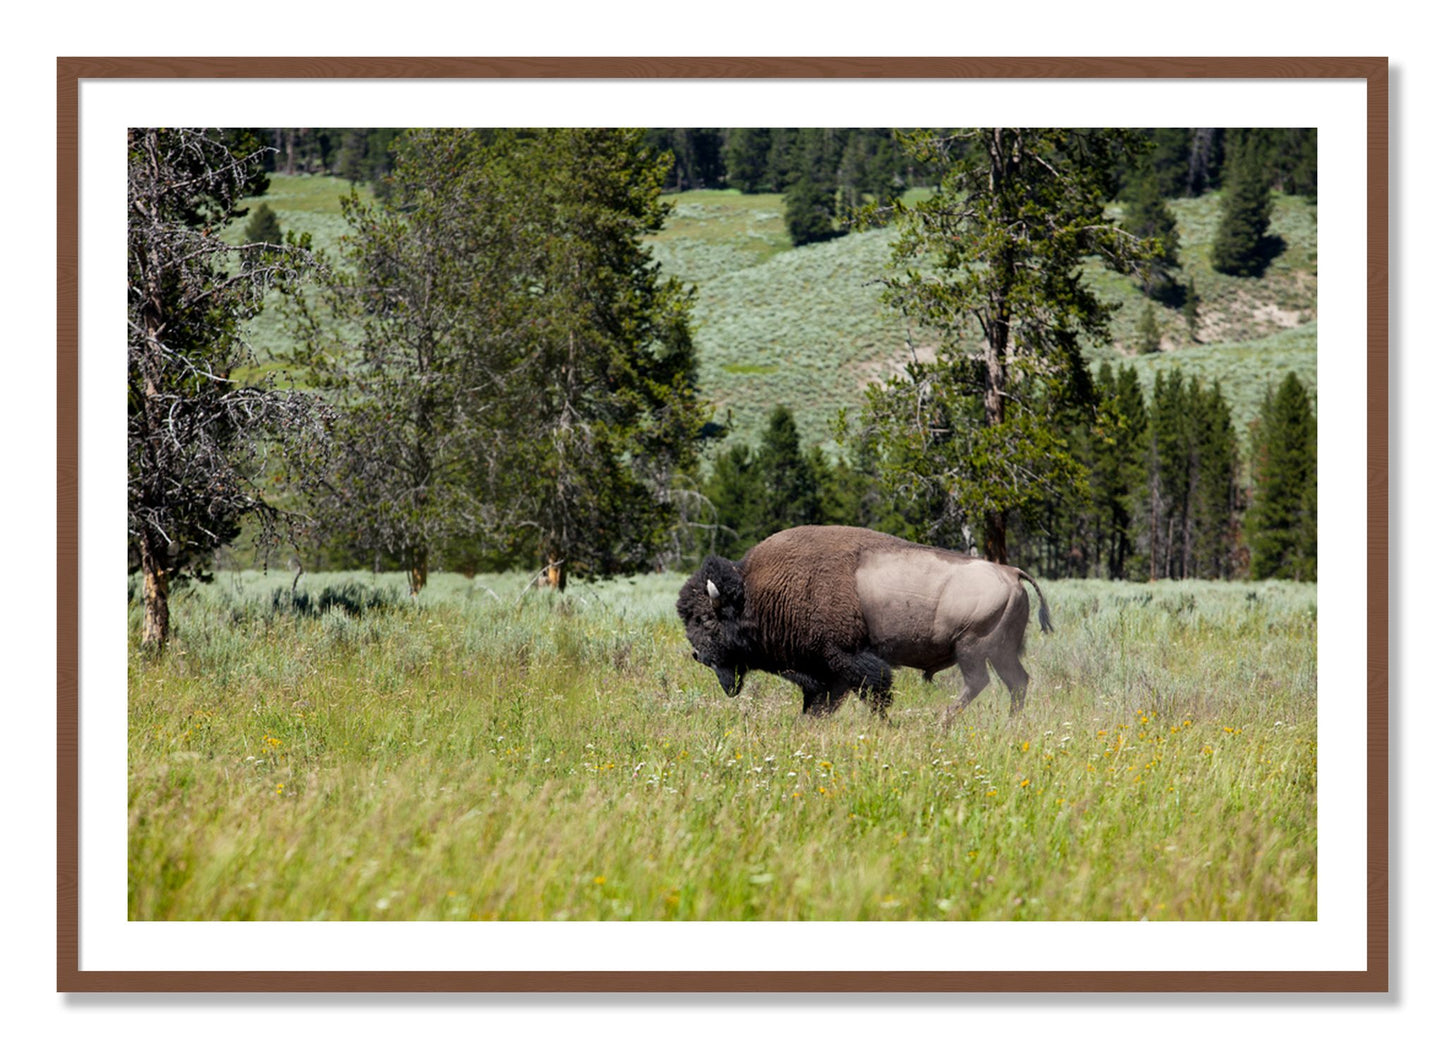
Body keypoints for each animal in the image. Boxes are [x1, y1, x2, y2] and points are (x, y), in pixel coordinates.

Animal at [676, 525, 1052, 721]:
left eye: (706, 619)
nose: (698, 655)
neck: (756, 592)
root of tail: (1011, 572)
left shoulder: (846, 659)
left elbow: (874, 692)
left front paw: (884, 724)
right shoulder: (825, 672)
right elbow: (821, 703)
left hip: (972, 649)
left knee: (980, 682)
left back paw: (942, 722)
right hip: (1000, 652)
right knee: (1017, 682)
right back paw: (1009, 723)